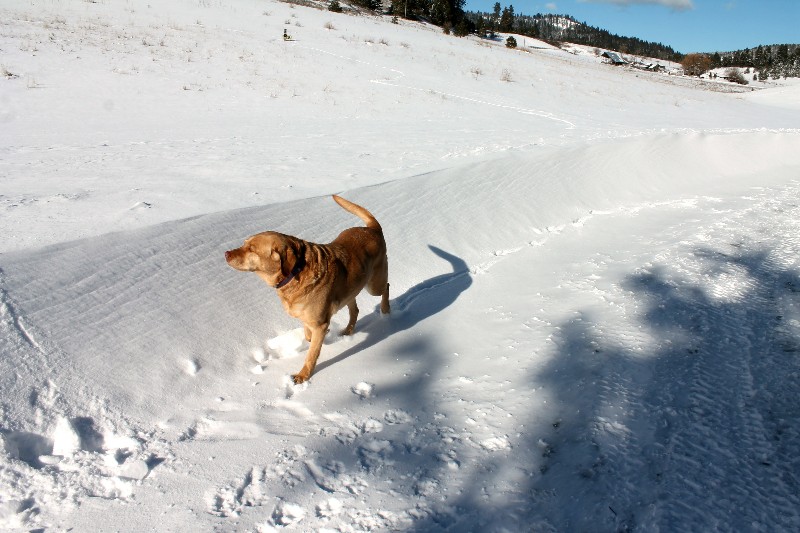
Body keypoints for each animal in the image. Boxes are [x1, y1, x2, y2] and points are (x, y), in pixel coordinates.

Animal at [225, 195, 390, 382]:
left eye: (251, 249)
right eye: (244, 243)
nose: (226, 254)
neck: (296, 273)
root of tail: (372, 228)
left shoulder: (319, 324)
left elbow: (311, 355)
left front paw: (303, 376)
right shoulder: (307, 318)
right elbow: (308, 336)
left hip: (374, 285)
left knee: (386, 288)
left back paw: (386, 311)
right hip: (351, 288)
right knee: (354, 309)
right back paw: (348, 331)